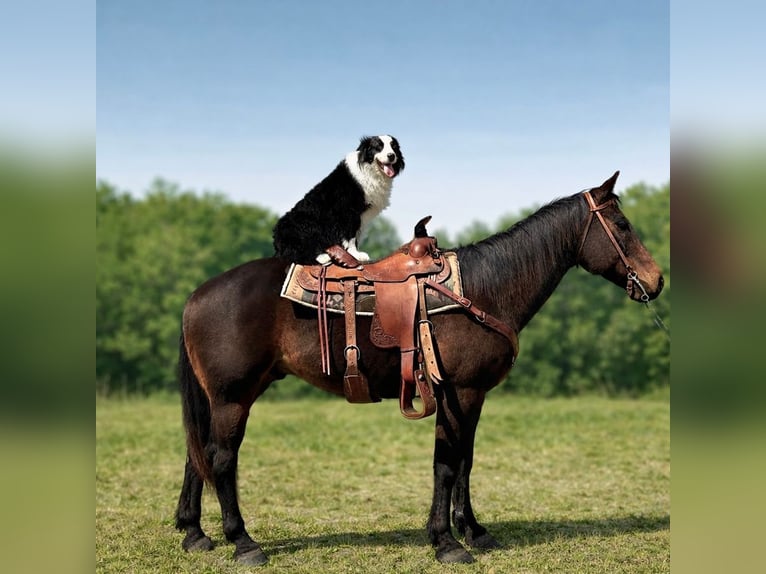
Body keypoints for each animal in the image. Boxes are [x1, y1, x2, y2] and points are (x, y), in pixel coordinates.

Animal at [174, 171, 664, 565]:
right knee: (221, 458)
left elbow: (465, 460)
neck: (484, 290)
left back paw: (195, 533)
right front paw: (446, 542)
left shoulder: (471, 395)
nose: (656, 280)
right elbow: (446, 463)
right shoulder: (460, 391)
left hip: (220, 397)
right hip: (233, 396)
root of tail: (197, 295)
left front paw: (474, 531)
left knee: (197, 454)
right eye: (622, 225)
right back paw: (243, 543)